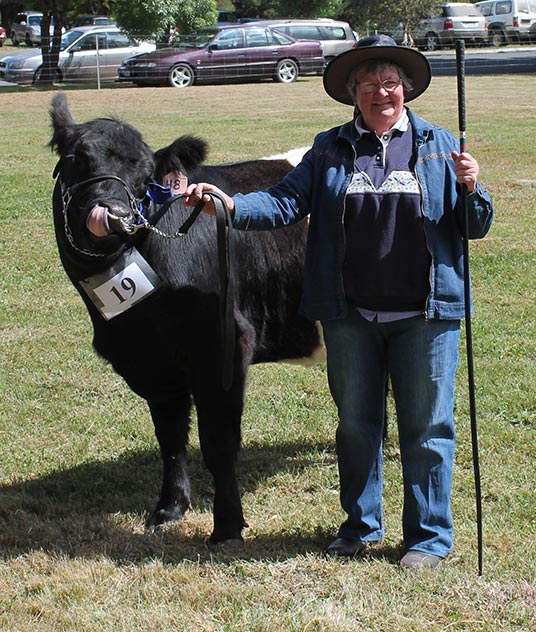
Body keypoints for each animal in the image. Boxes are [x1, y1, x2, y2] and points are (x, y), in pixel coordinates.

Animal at [49, 92, 322, 544]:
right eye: (76, 159)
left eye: (147, 176)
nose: (113, 212)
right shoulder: (154, 365)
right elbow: (171, 438)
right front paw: (170, 508)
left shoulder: (222, 347)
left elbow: (218, 441)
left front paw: (227, 525)